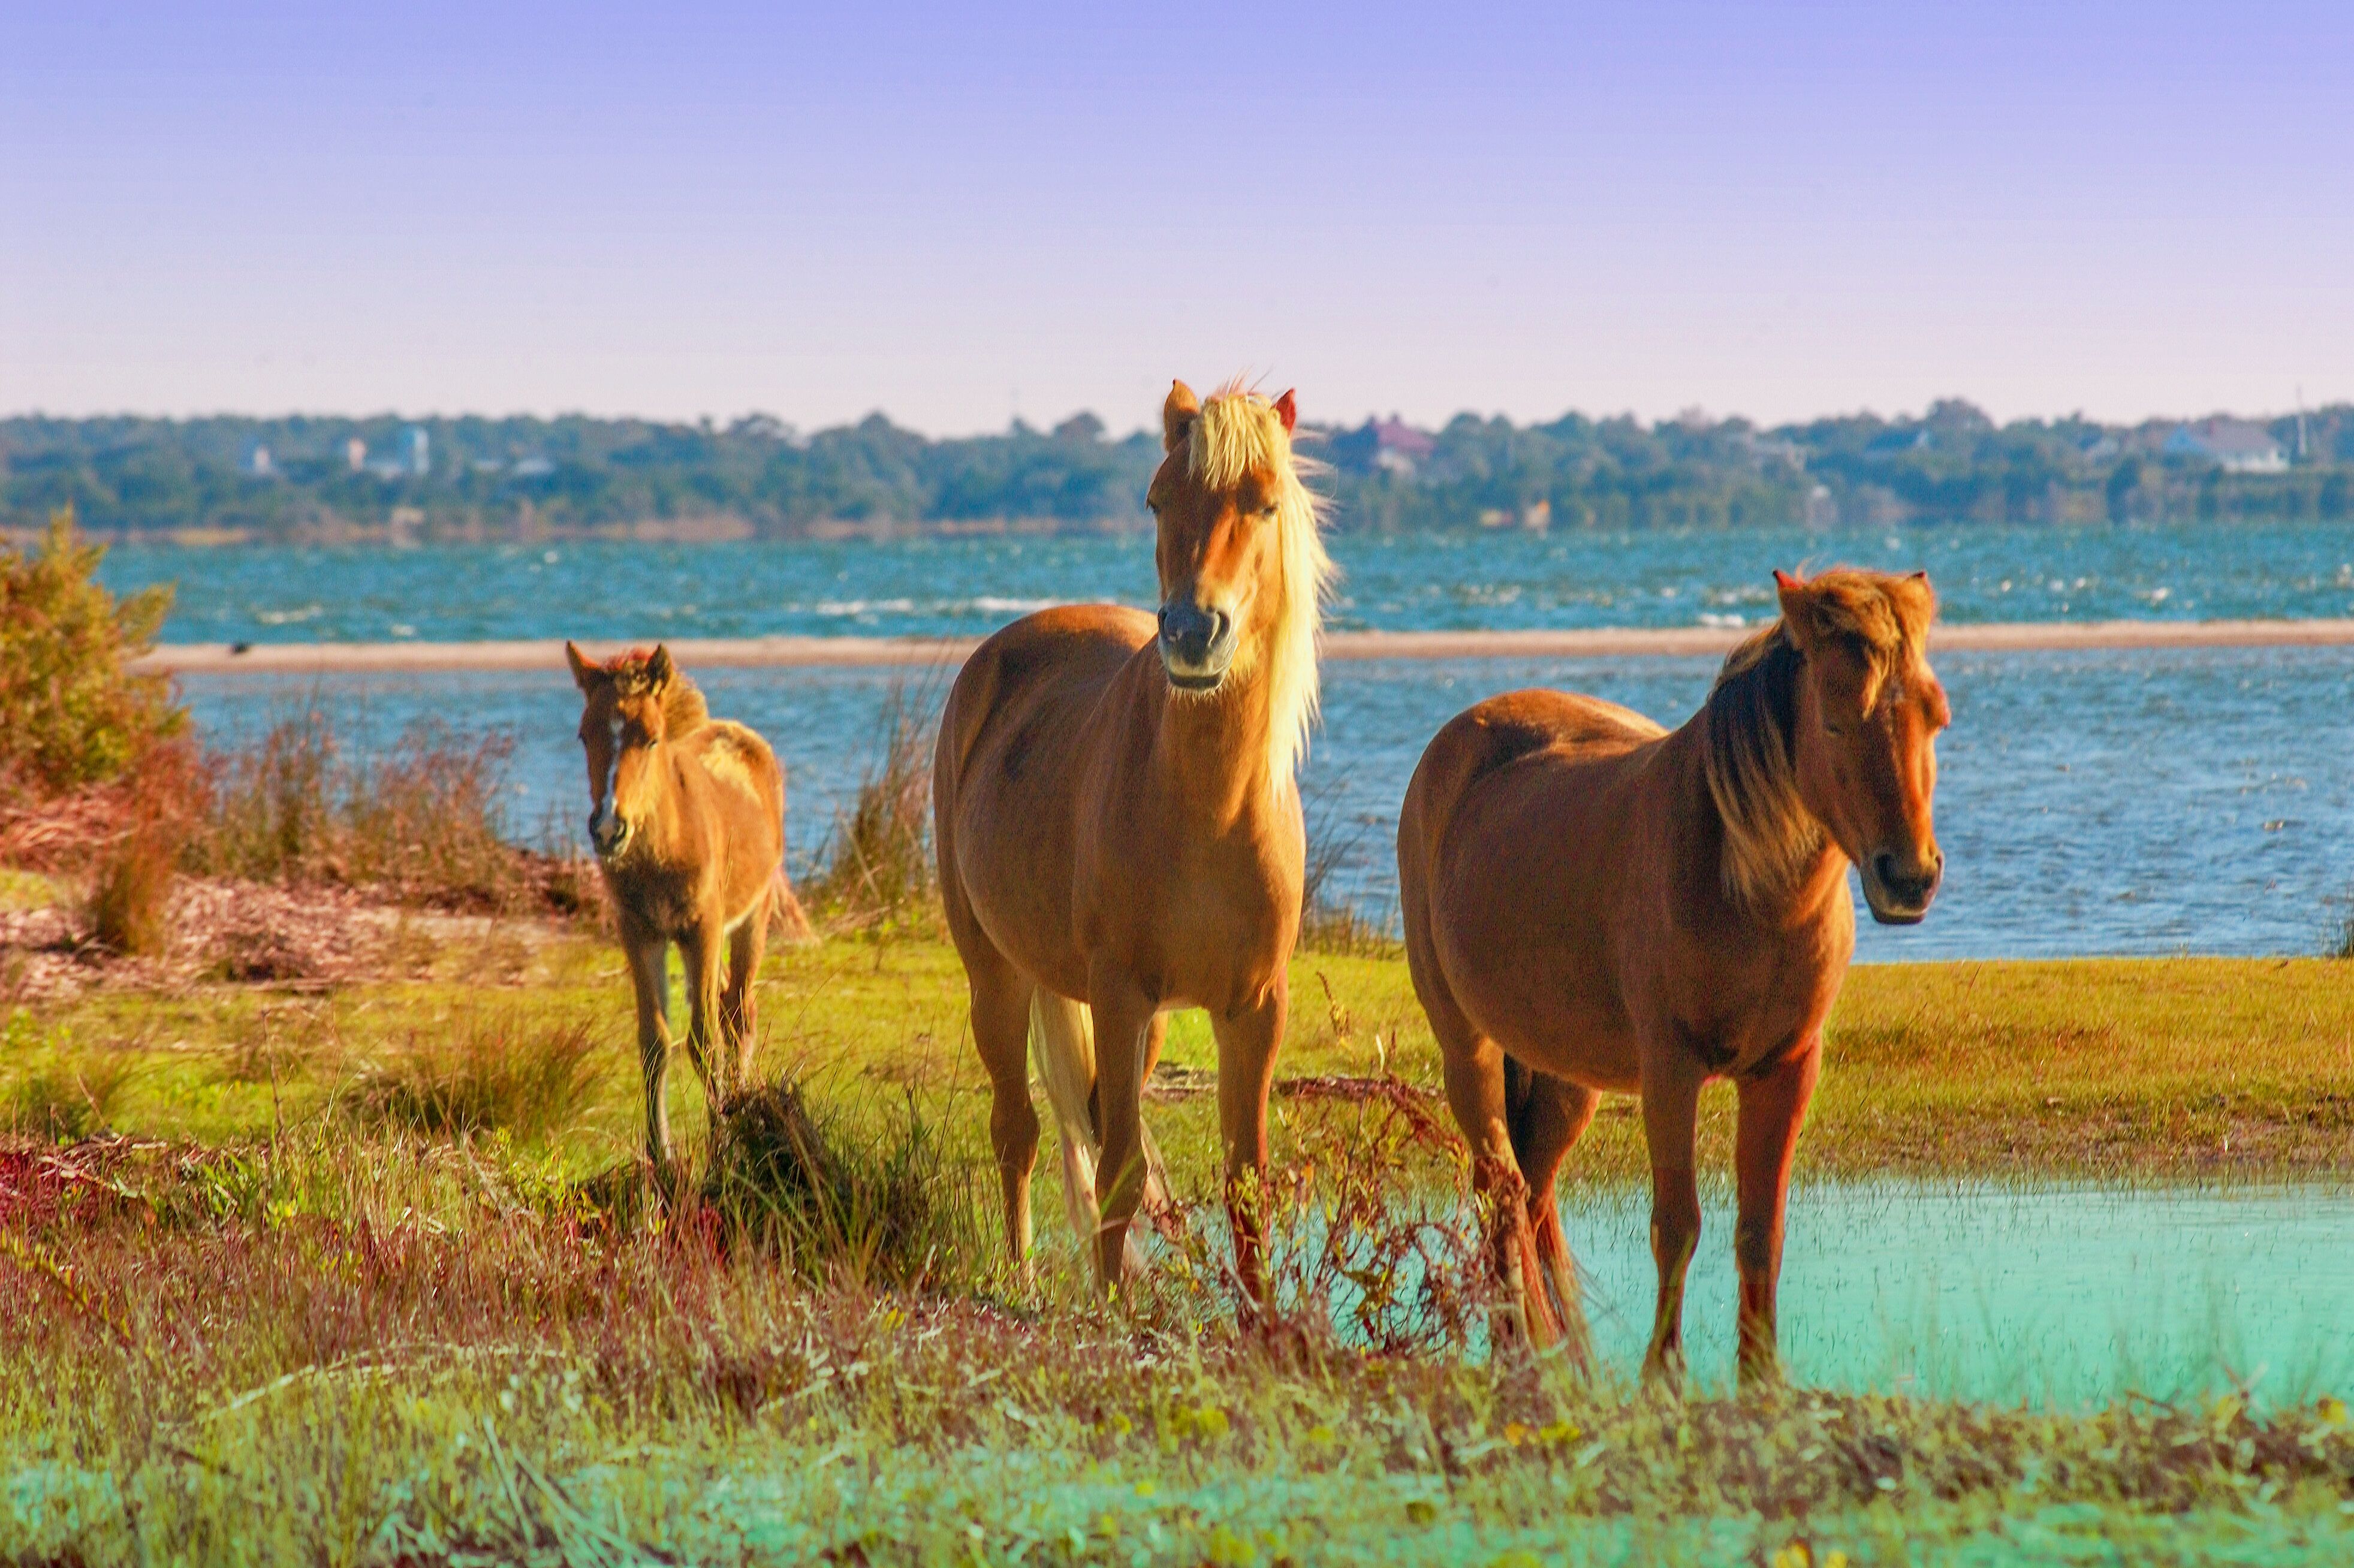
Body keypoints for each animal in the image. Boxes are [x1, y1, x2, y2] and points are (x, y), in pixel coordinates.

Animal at [565, 640, 814, 1177]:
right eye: (583, 735)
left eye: (651, 738)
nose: (608, 829)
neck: (664, 844)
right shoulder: (639, 932)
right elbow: (655, 1040)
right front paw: (660, 1153)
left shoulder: (703, 927)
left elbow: (704, 1041)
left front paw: (723, 1145)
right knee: (728, 1008)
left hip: (749, 918)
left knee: (739, 1013)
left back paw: (743, 1104)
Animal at [936, 381, 1346, 1290]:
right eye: (1157, 499)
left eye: (1266, 502)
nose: (1193, 633)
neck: (1208, 811)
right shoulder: (1119, 992)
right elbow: (1120, 1171)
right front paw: (1115, 1311)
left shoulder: (1251, 1009)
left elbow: (1243, 1185)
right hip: (996, 974)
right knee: (1019, 1131)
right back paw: (1022, 1279)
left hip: (1145, 1020)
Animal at [1393, 567, 1949, 1374]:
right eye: (1837, 721)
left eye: (1936, 718)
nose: (1909, 878)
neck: (1747, 886)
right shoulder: (1670, 1069)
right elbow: (1677, 1225)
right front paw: (1664, 1374)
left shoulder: (1787, 1069)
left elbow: (1761, 1231)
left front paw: (1761, 1376)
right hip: (1468, 1048)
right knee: (1499, 1187)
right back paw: (1520, 1353)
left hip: (1566, 1075)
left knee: (1533, 1192)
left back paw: (1566, 1353)